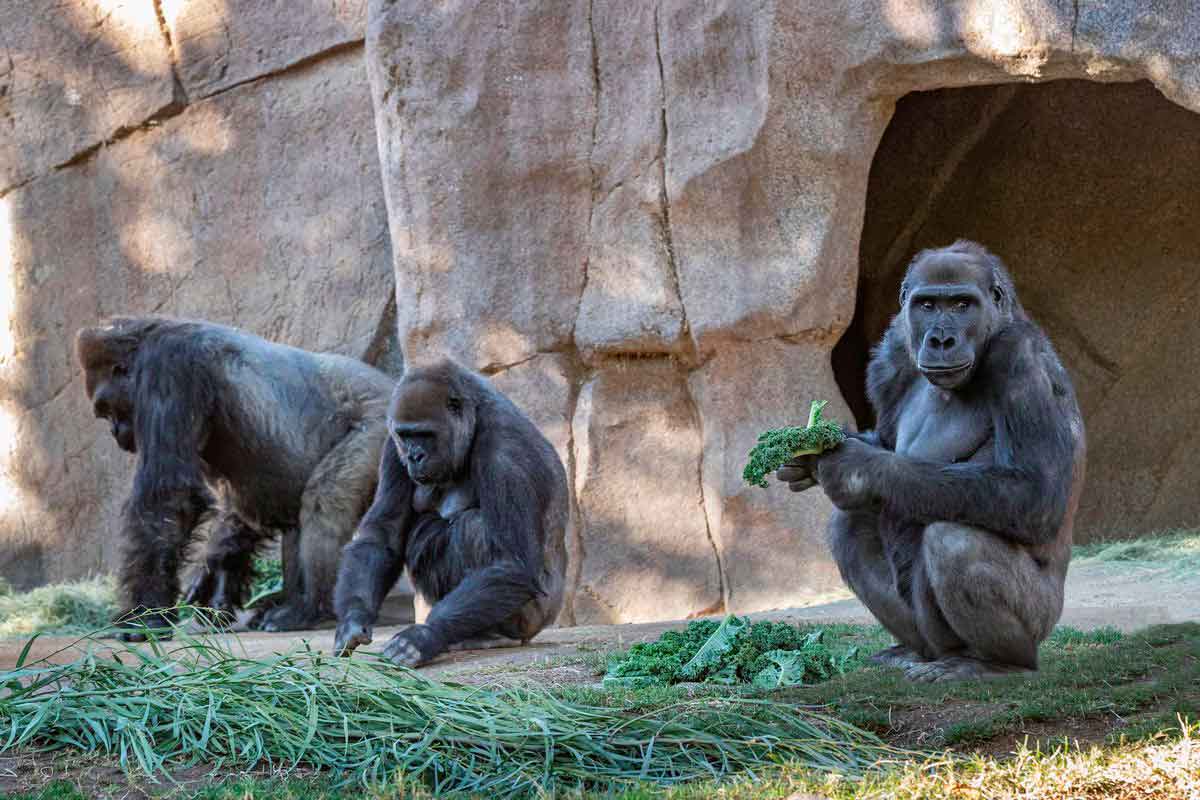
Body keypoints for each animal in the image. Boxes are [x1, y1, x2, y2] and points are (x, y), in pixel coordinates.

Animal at [76, 316, 393, 642]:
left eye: (107, 408)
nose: (115, 432)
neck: (146, 341)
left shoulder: (169, 367)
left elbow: (170, 497)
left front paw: (146, 614)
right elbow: (246, 504)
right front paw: (216, 569)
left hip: (381, 421)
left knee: (325, 501)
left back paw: (308, 607)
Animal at [333, 359, 566, 666]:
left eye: (425, 434)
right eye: (406, 435)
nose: (415, 456)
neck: (475, 418)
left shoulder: (506, 449)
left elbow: (511, 563)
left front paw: (425, 636)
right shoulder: (393, 447)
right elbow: (382, 537)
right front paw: (352, 620)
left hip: (535, 619)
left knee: (473, 527)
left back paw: (492, 635)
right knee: (426, 530)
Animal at [777, 241, 1089, 686]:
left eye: (961, 304)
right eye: (927, 305)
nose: (941, 339)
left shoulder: (1019, 356)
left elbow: (1035, 490)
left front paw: (856, 468)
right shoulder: (893, 354)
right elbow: (885, 441)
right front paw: (811, 456)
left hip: (1044, 619)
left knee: (954, 541)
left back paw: (996, 662)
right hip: (928, 636)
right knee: (849, 527)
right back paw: (912, 651)